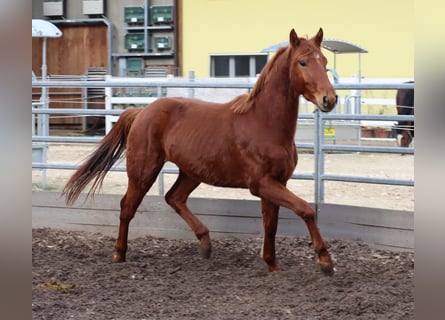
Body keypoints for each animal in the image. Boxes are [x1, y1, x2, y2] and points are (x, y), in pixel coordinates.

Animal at [63, 28, 336, 276]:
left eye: (324, 61)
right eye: (303, 62)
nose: (329, 99)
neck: (264, 123)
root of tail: (141, 112)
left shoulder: (276, 182)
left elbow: (271, 224)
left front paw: (272, 265)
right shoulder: (261, 184)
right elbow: (306, 210)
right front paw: (325, 261)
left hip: (192, 172)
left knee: (174, 198)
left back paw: (205, 243)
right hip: (144, 171)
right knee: (128, 206)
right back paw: (119, 254)